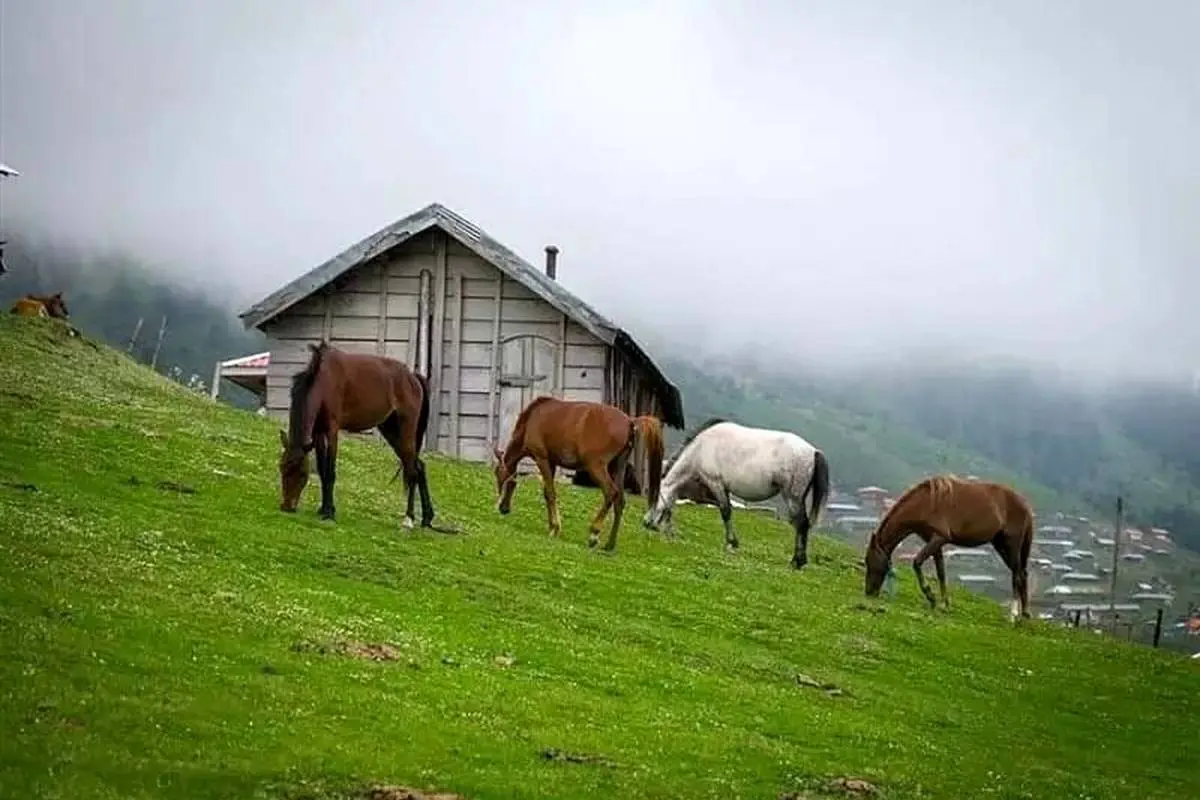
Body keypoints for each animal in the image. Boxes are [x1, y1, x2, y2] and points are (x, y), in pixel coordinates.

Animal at [276, 340, 441, 527]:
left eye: (303, 473)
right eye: (282, 467)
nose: (287, 506)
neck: (323, 381)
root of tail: (413, 377)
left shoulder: (332, 430)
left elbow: (330, 472)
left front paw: (329, 512)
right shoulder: (318, 433)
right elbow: (322, 470)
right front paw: (324, 509)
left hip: (407, 428)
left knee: (412, 470)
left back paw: (409, 518)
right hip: (390, 430)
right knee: (418, 465)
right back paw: (427, 518)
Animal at [492, 398, 672, 554]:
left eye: (498, 475)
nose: (502, 507)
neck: (532, 418)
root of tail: (630, 421)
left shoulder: (542, 459)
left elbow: (550, 493)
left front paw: (555, 527)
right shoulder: (552, 462)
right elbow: (548, 493)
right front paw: (553, 526)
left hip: (597, 467)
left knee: (611, 493)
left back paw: (594, 534)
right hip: (617, 468)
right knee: (619, 500)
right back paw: (609, 544)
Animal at [643, 419, 830, 568]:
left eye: (654, 498)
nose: (645, 522)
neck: (700, 448)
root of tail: (813, 451)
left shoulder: (716, 483)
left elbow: (725, 512)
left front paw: (731, 543)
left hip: (793, 497)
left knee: (801, 524)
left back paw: (797, 561)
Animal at [859, 474, 1036, 618]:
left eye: (870, 561)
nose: (869, 592)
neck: (927, 502)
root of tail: (1025, 505)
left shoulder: (939, 538)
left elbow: (917, 562)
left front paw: (930, 595)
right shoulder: (933, 541)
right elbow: (941, 572)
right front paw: (944, 604)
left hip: (1012, 544)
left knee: (1017, 575)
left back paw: (1013, 614)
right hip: (1000, 544)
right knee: (1022, 573)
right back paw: (1025, 613)